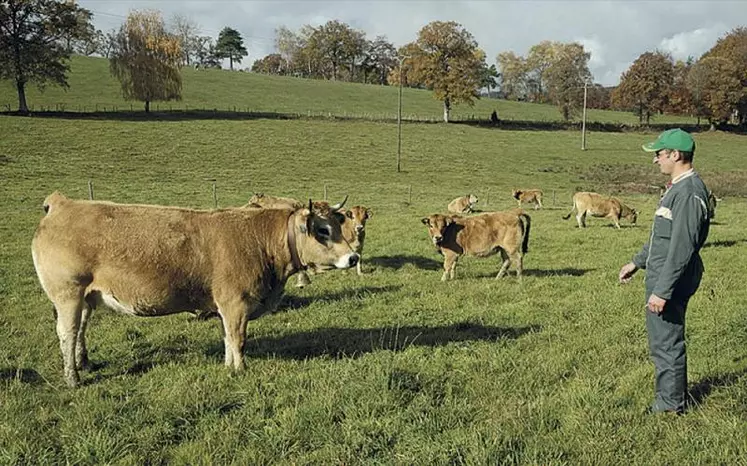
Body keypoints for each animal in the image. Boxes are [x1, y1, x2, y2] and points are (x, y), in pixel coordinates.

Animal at [33, 191, 360, 388]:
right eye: (323, 230)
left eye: (336, 224)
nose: (353, 257)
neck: (259, 239)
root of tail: (63, 204)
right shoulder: (235, 304)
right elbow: (238, 339)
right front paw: (240, 370)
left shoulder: (224, 308)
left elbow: (227, 338)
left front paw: (228, 367)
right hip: (68, 295)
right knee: (68, 333)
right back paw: (73, 377)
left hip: (86, 298)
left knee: (80, 330)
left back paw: (84, 363)